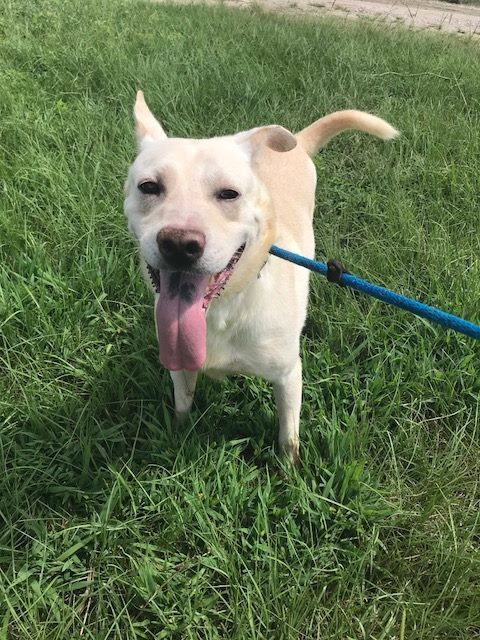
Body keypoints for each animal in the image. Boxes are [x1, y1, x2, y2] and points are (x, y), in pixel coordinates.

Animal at [124, 91, 398, 460]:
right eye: (149, 186)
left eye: (229, 193)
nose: (180, 245)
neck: (224, 307)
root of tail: (297, 141)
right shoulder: (179, 365)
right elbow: (183, 404)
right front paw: (178, 435)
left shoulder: (288, 375)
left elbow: (288, 435)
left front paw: (289, 467)